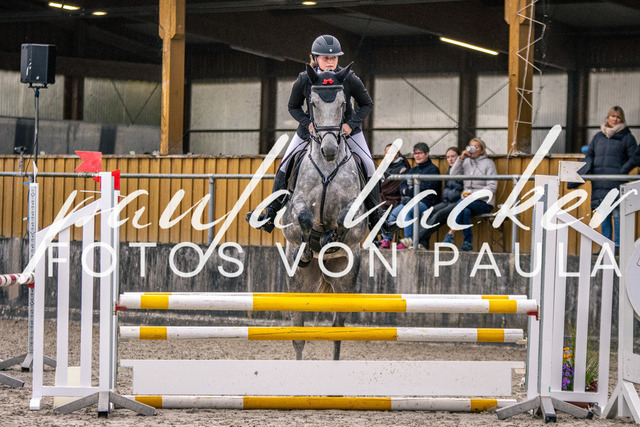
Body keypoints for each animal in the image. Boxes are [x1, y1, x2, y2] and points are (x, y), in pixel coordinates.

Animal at [281, 64, 368, 360]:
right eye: (313, 103)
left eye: (343, 104)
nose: (329, 150)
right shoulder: (295, 210)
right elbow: (304, 218)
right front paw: (311, 245)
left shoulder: (354, 213)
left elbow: (342, 218)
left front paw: (331, 238)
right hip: (298, 280)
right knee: (298, 330)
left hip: (345, 276)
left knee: (337, 329)